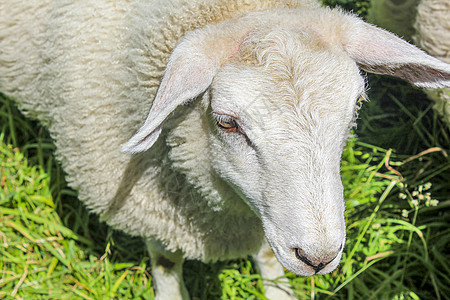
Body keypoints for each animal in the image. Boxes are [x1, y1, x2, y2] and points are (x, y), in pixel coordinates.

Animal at [0, 0, 450, 300]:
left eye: (356, 106)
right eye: (227, 122)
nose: (318, 257)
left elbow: (267, 253)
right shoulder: (153, 203)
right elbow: (166, 260)